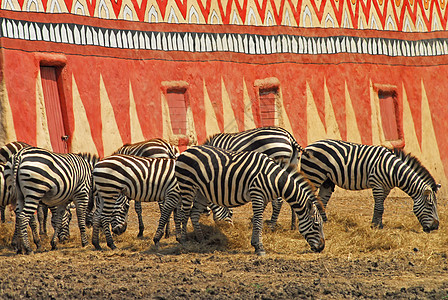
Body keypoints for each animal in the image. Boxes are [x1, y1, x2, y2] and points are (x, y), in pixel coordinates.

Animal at [172, 145, 326, 255]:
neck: (274, 178)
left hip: (201, 192)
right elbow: (258, 222)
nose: (322, 248)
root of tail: (185, 151)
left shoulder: (263, 198)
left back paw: (201, 240)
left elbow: (257, 221)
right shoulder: (257, 194)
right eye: (316, 225)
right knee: (184, 213)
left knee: (194, 214)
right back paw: (184, 241)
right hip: (187, 186)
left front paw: (255, 244)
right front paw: (260, 248)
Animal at [300, 139, 440, 232]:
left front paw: (375, 224)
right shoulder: (377, 183)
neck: (393, 170)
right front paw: (377, 226)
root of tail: (309, 145)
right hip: (314, 176)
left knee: (321, 201)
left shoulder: (386, 188)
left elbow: (380, 206)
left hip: (327, 181)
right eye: (430, 205)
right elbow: (379, 207)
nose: (435, 227)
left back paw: (325, 222)